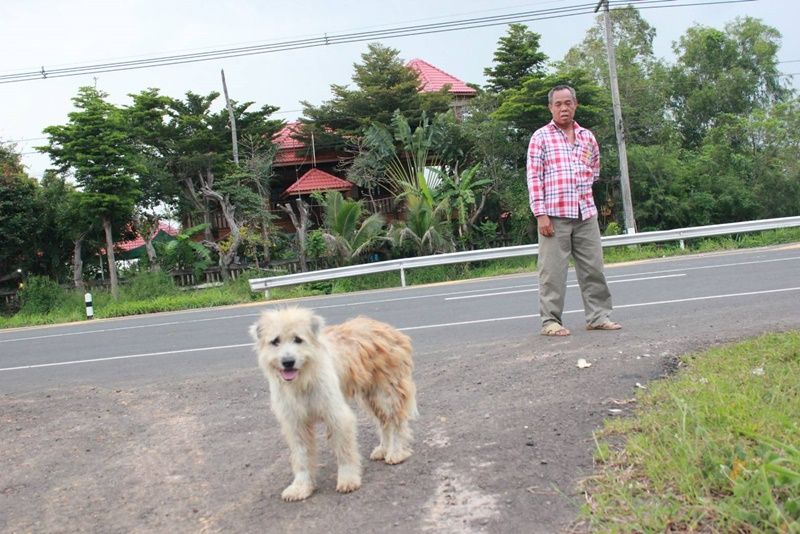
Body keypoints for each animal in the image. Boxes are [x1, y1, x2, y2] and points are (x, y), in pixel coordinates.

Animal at [252, 308, 418, 504]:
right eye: (275, 341)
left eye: (298, 339)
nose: (288, 362)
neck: (303, 380)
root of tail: (386, 327)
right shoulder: (295, 423)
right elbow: (301, 457)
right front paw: (301, 487)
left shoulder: (336, 414)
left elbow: (345, 451)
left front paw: (348, 479)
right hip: (370, 396)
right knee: (384, 423)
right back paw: (383, 449)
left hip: (386, 393)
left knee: (396, 422)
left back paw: (396, 452)